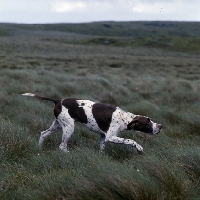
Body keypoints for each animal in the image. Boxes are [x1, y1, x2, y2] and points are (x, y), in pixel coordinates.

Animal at [22, 93, 162, 152]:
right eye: (148, 122)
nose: (160, 126)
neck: (125, 117)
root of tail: (58, 100)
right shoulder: (110, 137)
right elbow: (129, 140)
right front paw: (139, 147)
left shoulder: (103, 137)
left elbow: (102, 150)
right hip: (69, 127)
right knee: (62, 146)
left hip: (57, 125)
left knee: (43, 134)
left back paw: (39, 148)